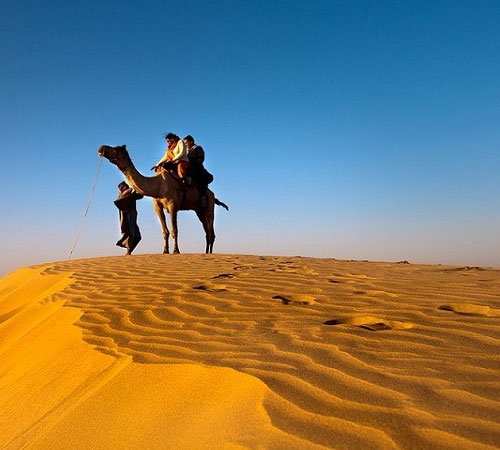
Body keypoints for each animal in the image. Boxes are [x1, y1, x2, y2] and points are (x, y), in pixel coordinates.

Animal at [97, 146, 229, 255]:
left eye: (116, 148)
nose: (101, 148)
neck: (159, 185)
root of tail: (213, 195)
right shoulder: (157, 207)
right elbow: (164, 231)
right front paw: (165, 251)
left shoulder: (172, 206)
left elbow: (174, 229)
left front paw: (176, 251)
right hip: (199, 210)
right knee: (207, 230)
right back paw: (206, 252)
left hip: (209, 205)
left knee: (210, 228)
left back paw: (210, 253)